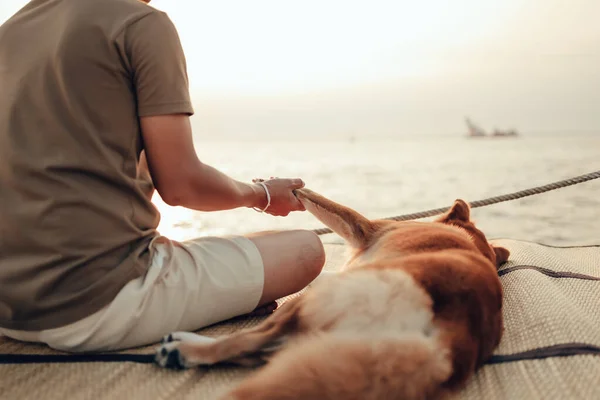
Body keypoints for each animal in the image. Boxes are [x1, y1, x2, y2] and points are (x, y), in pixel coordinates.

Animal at [155, 188, 506, 400]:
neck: (466, 238)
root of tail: (453, 339)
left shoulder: (365, 228)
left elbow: (321, 202)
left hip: (311, 300)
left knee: (246, 341)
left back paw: (184, 348)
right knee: (264, 350)